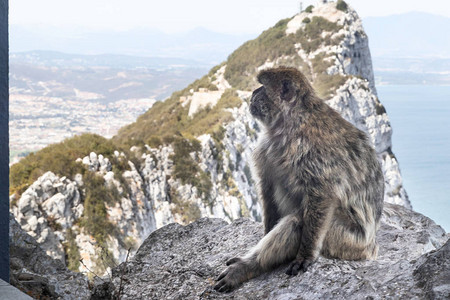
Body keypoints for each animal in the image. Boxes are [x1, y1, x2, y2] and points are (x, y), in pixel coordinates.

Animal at [214, 66, 384, 292]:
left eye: (263, 85)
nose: (253, 92)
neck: (292, 122)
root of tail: (372, 247)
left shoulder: (313, 151)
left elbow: (322, 195)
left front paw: (305, 255)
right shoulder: (266, 149)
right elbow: (268, 188)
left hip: (348, 241)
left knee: (297, 221)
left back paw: (247, 267)